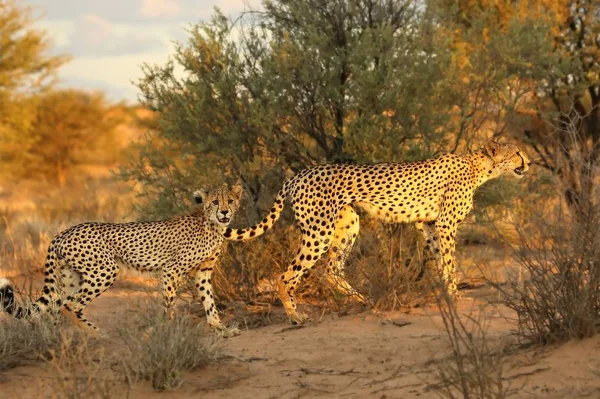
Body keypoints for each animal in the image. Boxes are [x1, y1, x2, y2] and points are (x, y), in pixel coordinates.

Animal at [1, 185, 244, 334]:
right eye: (215, 202)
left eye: (230, 201)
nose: (224, 212)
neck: (211, 224)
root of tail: (63, 232)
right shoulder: (170, 270)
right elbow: (169, 303)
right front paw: (166, 329)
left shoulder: (203, 273)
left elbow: (209, 302)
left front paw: (220, 328)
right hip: (104, 271)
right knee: (69, 305)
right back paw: (96, 335)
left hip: (73, 277)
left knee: (57, 307)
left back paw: (60, 340)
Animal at [223, 142, 532, 324]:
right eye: (517, 152)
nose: (529, 163)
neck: (479, 167)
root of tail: (299, 174)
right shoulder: (445, 224)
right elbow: (450, 263)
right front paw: (455, 296)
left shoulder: (428, 224)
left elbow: (439, 262)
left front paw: (445, 293)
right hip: (318, 231)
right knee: (286, 275)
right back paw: (296, 316)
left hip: (347, 224)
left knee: (331, 271)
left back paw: (363, 301)